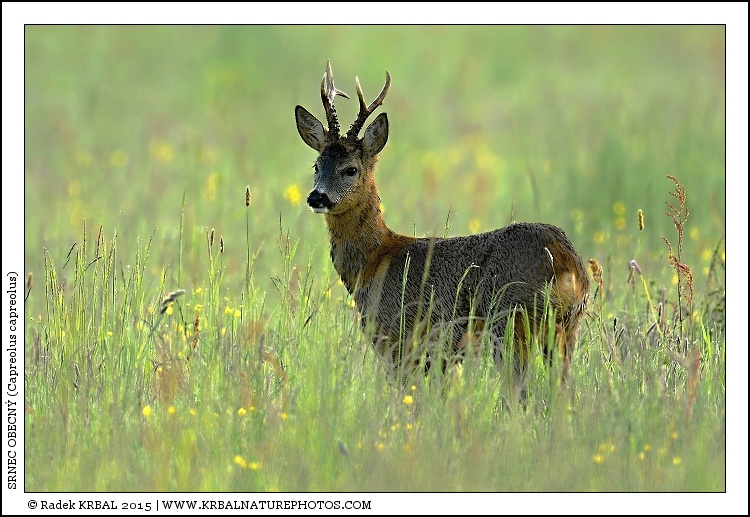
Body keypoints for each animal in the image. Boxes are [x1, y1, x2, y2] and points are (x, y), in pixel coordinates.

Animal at [295, 61, 589, 396]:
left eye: (350, 169)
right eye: (316, 166)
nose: (317, 197)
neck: (373, 262)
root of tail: (567, 261)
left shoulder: (398, 341)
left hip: (511, 321)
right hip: (566, 327)